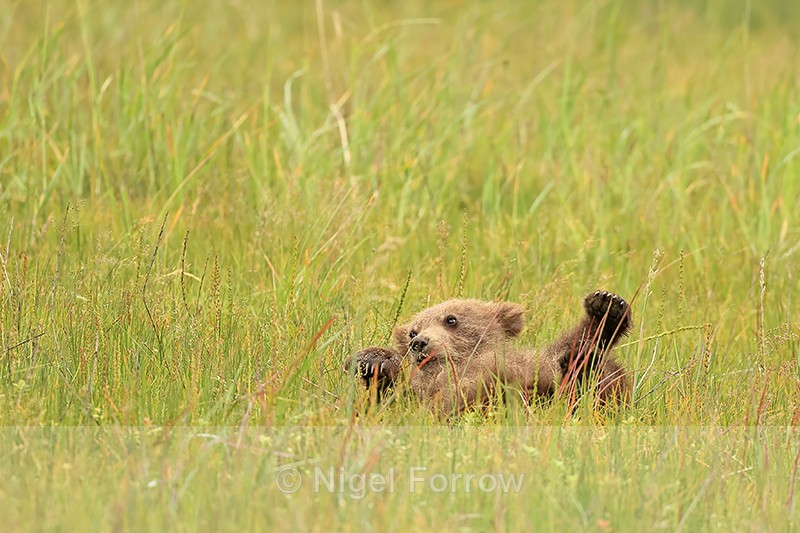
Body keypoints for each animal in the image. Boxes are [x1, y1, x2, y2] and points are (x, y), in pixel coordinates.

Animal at [348, 290, 632, 416]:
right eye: (412, 332)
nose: (420, 342)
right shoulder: (423, 394)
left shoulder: (537, 361)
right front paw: (375, 360)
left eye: (451, 319)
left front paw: (606, 307)